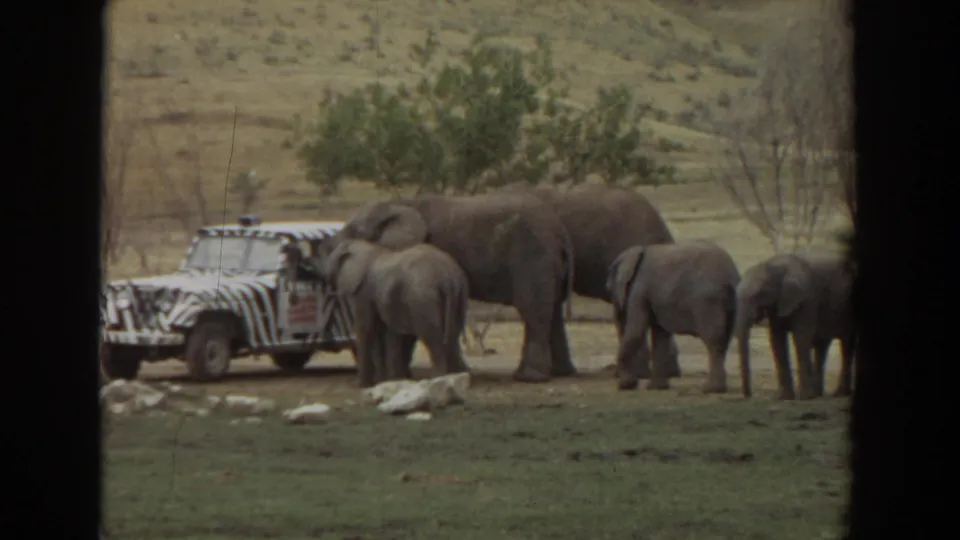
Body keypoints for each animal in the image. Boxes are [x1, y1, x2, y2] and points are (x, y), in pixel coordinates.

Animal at [319, 239, 471, 388]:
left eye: (331, 257)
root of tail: (447, 275)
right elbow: (388, 332)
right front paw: (389, 380)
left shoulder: (363, 291)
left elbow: (366, 329)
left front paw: (363, 385)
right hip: (460, 292)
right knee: (453, 335)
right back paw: (456, 377)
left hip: (423, 298)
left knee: (431, 336)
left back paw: (437, 379)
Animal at [606, 240, 741, 393]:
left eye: (608, 289)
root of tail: (731, 275)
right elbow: (660, 336)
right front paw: (656, 388)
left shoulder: (639, 290)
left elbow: (636, 332)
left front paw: (626, 385)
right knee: (725, 339)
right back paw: (717, 388)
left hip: (709, 302)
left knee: (713, 340)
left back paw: (710, 389)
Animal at [735, 253, 856, 400]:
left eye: (758, 294)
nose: (749, 395)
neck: (775, 266)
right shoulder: (778, 304)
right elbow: (777, 341)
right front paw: (785, 397)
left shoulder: (807, 299)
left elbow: (801, 339)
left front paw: (805, 397)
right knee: (822, 346)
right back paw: (820, 394)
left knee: (846, 346)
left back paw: (838, 394)